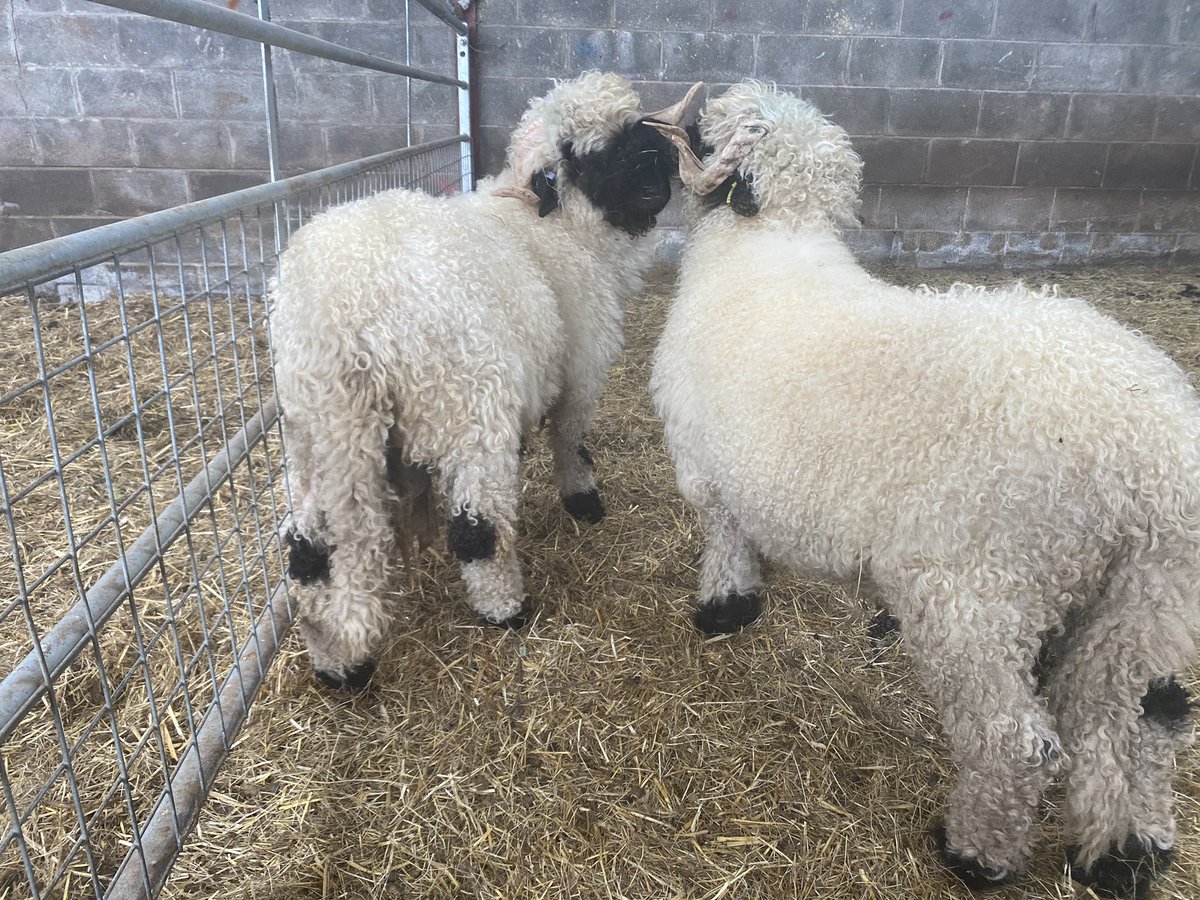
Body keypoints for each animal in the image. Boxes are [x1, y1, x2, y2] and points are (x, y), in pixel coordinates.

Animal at [272, 73, 700, 694]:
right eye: (579, 156)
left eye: (633, 129)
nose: (651, 173)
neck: (560, 231)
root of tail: (345, 309)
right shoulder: (581, 368)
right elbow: (569, 438)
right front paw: (583, 499)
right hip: (468, 406)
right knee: (478, 529)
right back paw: (507, 610)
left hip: (316, 436)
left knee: (306, 548)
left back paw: (337, 665)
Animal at [647, 82, 1199, 899]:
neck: (766, 242)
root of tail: (1149, 462)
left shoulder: (703, 468)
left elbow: (725, 540)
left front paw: (724, 609)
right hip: (1147, 598)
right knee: (1137, 720)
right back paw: (1129, 854)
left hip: (978, 591)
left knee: (1018, 744)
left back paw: (975, 854)